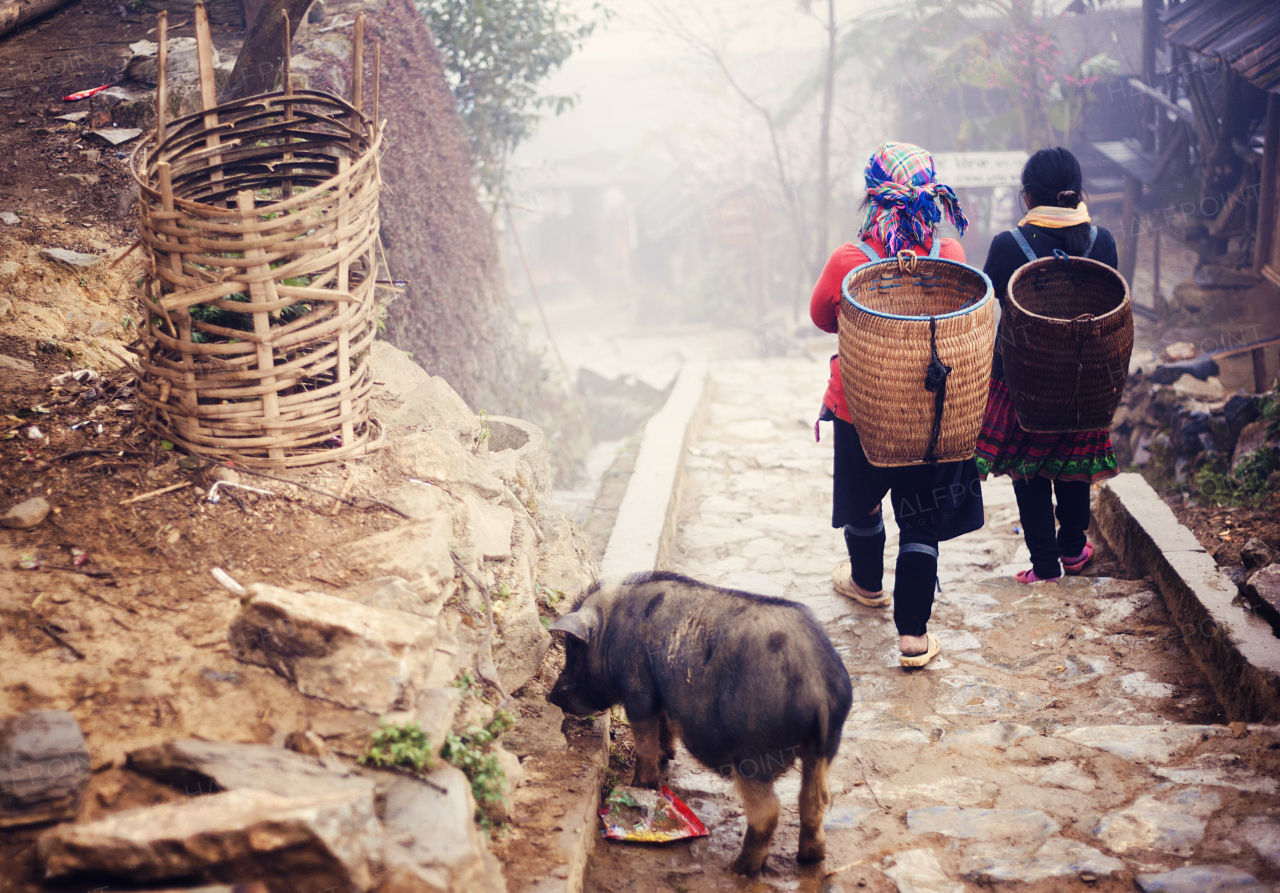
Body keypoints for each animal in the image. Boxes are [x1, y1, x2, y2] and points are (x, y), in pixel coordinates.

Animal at [542, 570, 849, 869]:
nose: (552, 695)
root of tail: (816, 682)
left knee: (768, 811)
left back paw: (740, 868)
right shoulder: (662, 692)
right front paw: (667, 756)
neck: (610, 628)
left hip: (754, 750)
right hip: (827, 744)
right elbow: (664, 723)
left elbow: (643, 735)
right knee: (812, 800)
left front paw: (640, 785)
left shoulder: (637, 685)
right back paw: (811, 858)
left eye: (574, 649)